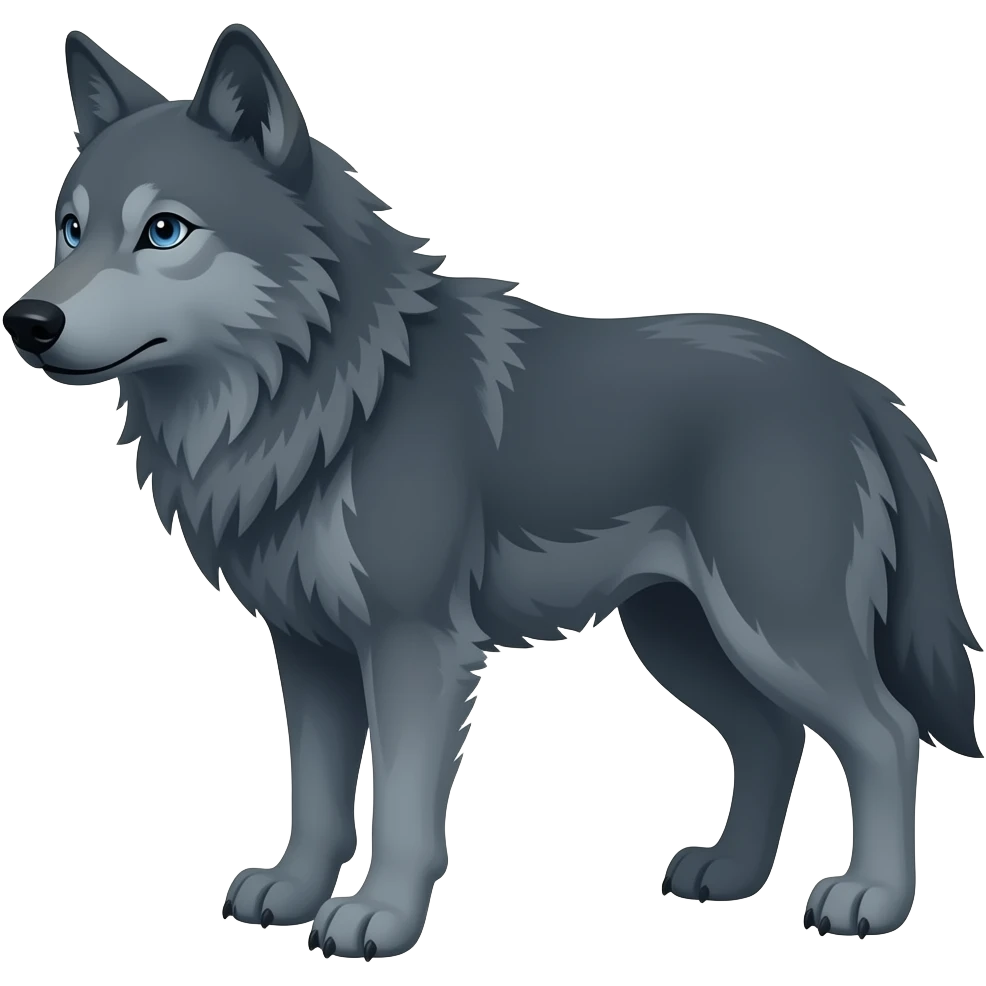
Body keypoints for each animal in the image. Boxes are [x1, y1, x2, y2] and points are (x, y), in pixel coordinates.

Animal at [4, 24, 981, 957]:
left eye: (164, 231)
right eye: (70, 229)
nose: (27, 322)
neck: (330, 391)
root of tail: (849, 382)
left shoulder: (415, 647)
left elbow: (400, 806)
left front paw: (379, 918)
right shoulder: (309, 650)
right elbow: (315, 798)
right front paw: (292, 893)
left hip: (773, 632)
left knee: (887, 734)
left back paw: (871, 899)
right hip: (684, 638)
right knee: (773, 738)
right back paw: (732, 874)